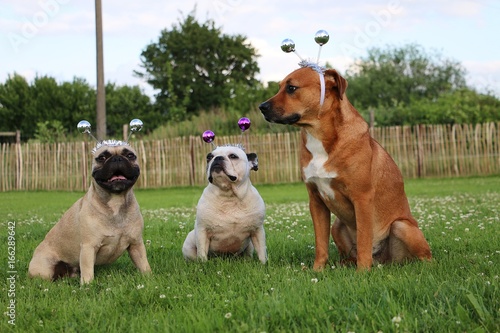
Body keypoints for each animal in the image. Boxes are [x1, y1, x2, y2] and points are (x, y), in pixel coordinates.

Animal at [260, 67, 432, 270]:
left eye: (291, 88)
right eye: (279, 87)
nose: (262, 107)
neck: (320, 138)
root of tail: (382, 260)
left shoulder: (362, 199)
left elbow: (364, 239)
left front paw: (362, 272)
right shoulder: (316, 201)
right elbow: (321, 243)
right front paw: (317, 270)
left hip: (401, 226)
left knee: (424, 257)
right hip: (337, 225)